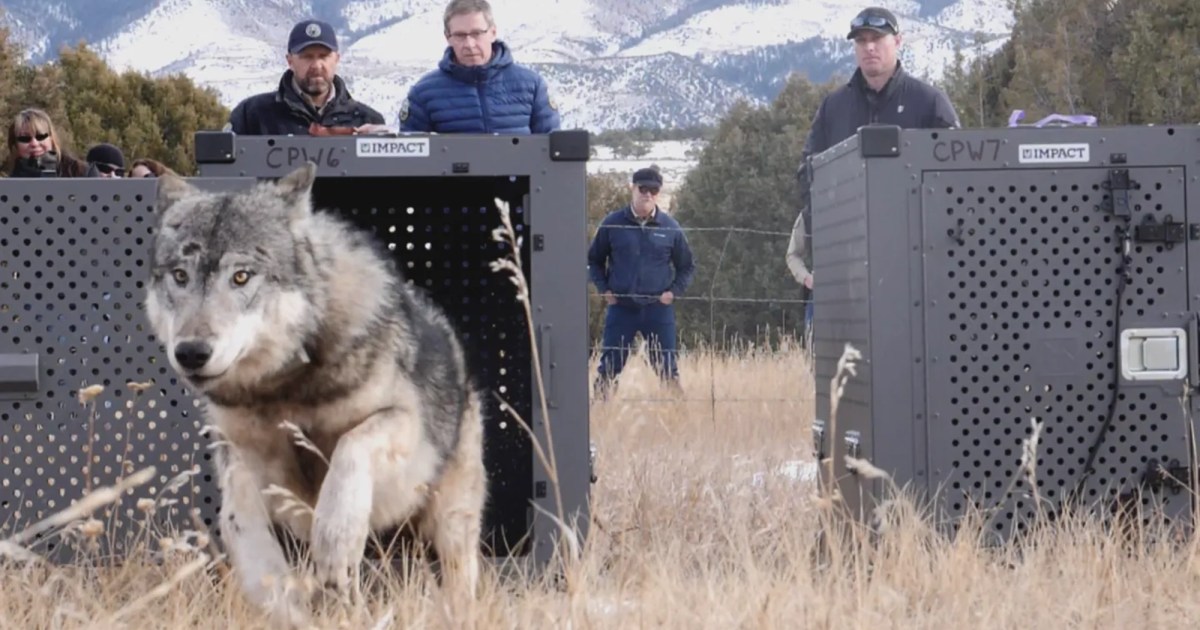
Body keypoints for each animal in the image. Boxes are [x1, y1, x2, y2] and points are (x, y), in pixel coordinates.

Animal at [144, 163, 487, 625]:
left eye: (241, 276)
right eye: (180, 277)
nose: (191, 353)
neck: (286, 388)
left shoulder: (404, 425)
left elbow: (351, 446)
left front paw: (336, 538)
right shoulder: (240, 452)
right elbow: (238, 517)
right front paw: (273, 589)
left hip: (450, 521)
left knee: (459, 579)